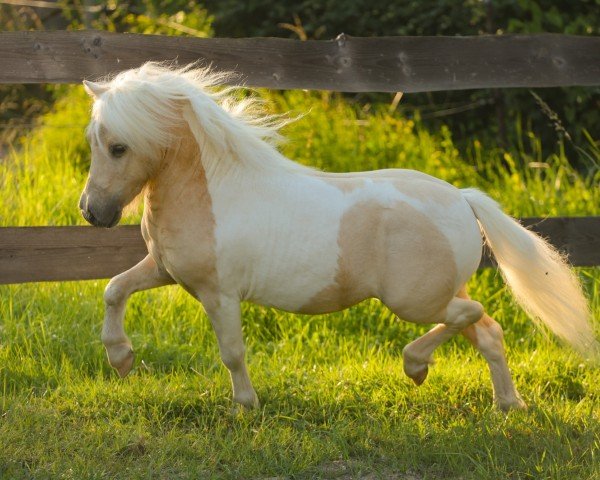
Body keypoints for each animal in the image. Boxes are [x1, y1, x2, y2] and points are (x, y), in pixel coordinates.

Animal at [79, 62, 596, 410]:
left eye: (118, 147)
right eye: (94, 141)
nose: (92, 212)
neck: (213, 191)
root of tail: (462, 199)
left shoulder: (218, 293)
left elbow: (232, 352)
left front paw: (246, 406)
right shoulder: (165, 270)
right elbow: (114, 290)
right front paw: (121, 360)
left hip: (417, 301)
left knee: (474, 317)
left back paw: (416, 367)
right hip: (445, 292)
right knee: (488, 331)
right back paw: (507, 404)